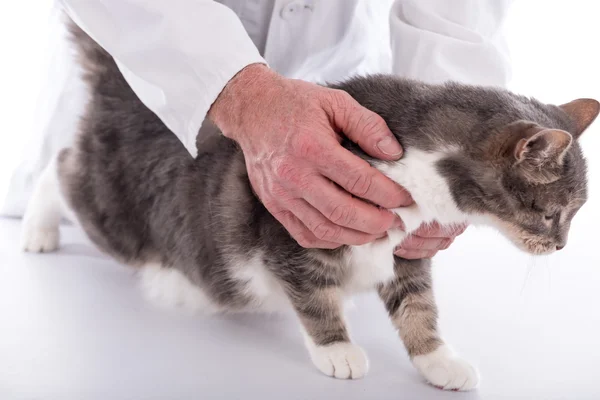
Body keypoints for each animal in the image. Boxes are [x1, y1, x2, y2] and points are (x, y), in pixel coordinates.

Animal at [21, 20, 596, 390]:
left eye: (571, 215)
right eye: (551, 214)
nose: (560, 247)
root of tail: (125, 97)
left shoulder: (408, 252)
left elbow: (418, 306)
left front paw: (438, 361)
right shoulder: (293, 230)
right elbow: (315, 296)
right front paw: (336, 349)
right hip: (110, 210)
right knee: (62, 167)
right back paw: (37, 227)